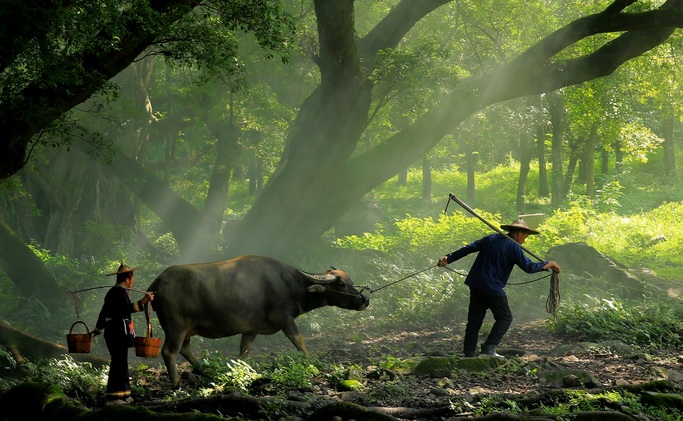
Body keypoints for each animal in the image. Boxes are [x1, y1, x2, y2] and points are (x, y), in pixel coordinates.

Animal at [148, 253, 372, 388]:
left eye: (351, 281)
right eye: (341, 284)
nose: (364, 300)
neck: (290, 284)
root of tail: (157, 282)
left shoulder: (251, 329)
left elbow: (244, 352)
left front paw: (241, 372)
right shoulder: (284, 318)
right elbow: (298, 340)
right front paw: (312, 362)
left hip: (186, 329)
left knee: (185, 349)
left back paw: (207, 372)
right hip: (176, 327)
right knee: (170, 351)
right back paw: (176, 383)